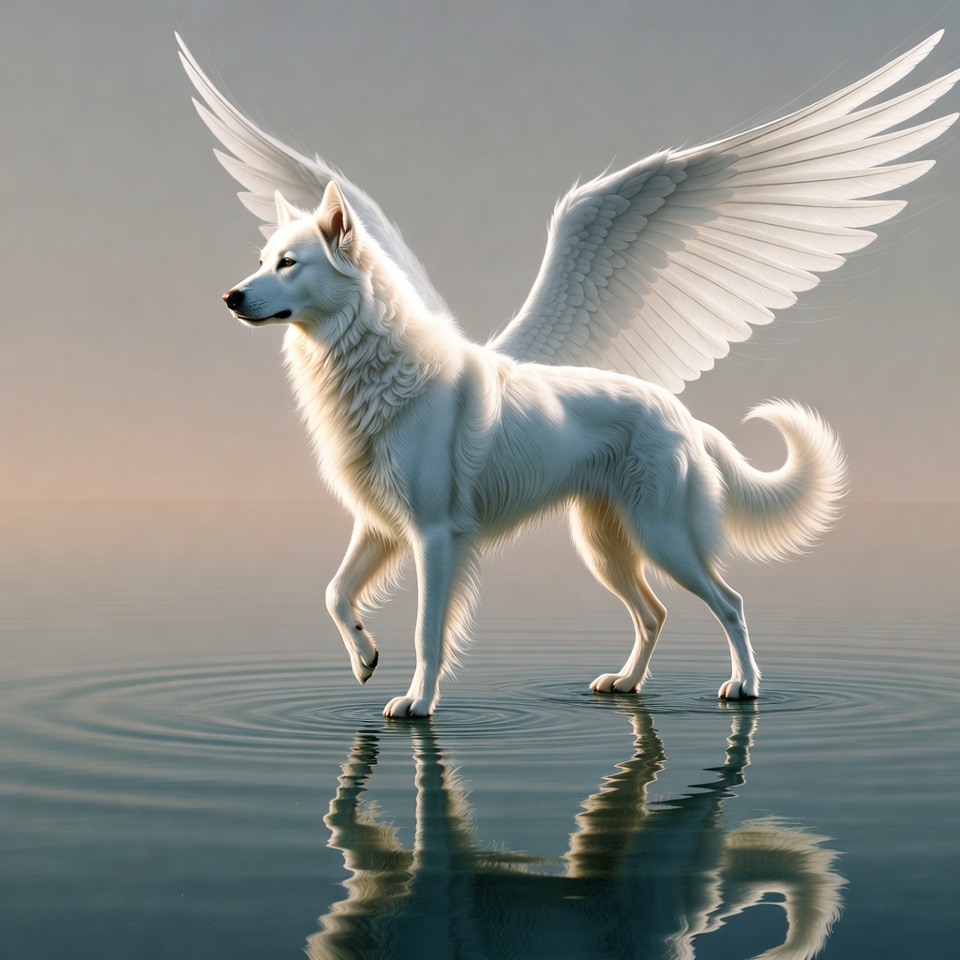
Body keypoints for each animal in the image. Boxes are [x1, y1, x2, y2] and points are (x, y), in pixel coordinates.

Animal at [183, 33, 957, 716]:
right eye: (263, 258)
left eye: (289, 264)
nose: (228, 297)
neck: (376, 363)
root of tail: (682, 414)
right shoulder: (379, 526)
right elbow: (335, 593)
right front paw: (365, 658)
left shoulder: (433, 536)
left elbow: (429, 634)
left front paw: (417, 703)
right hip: (606, 545)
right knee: (655, 613)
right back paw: (627, 684)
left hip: (662, 536)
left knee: (729, 602)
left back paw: (745, 688)